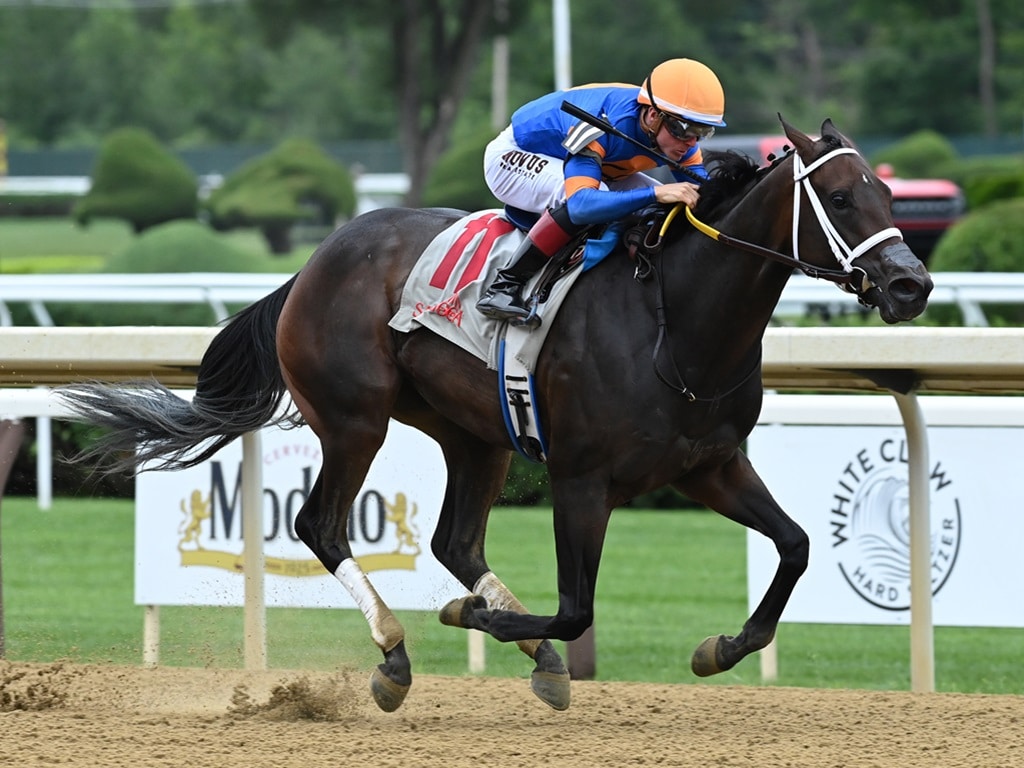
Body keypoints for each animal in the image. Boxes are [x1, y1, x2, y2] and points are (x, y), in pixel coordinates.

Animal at [59, 120, 933, 716]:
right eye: (843, 198)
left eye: (891, 194)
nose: (912, 287)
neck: (675, 323)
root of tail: (312, 264)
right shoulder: (583, 478)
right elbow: (579, 605)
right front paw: (475, 619)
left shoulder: (709, 464)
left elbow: (796, 545)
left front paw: (720, 648)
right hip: (356, 418)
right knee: (321, 526)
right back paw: (397, 654)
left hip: (477, 434)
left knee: (454, 540)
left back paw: (525, 649)